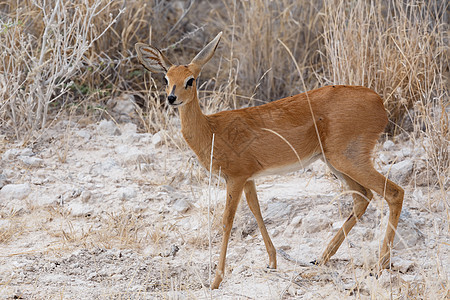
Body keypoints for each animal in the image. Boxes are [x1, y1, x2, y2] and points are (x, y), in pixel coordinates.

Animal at [136, 32, 404, 288]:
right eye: (166, 78)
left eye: (190, 80)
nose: (172, 98)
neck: (212, 130)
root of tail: (379, 102)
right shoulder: (248, 179)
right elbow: (257, 212)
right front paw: (272, 262)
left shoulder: (234, 178)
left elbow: (226, 221)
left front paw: (216, 280)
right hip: (334, 163)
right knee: (362, 197)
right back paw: (320, 259)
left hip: (348, 159)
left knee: (393, 192)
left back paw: (379, 266)